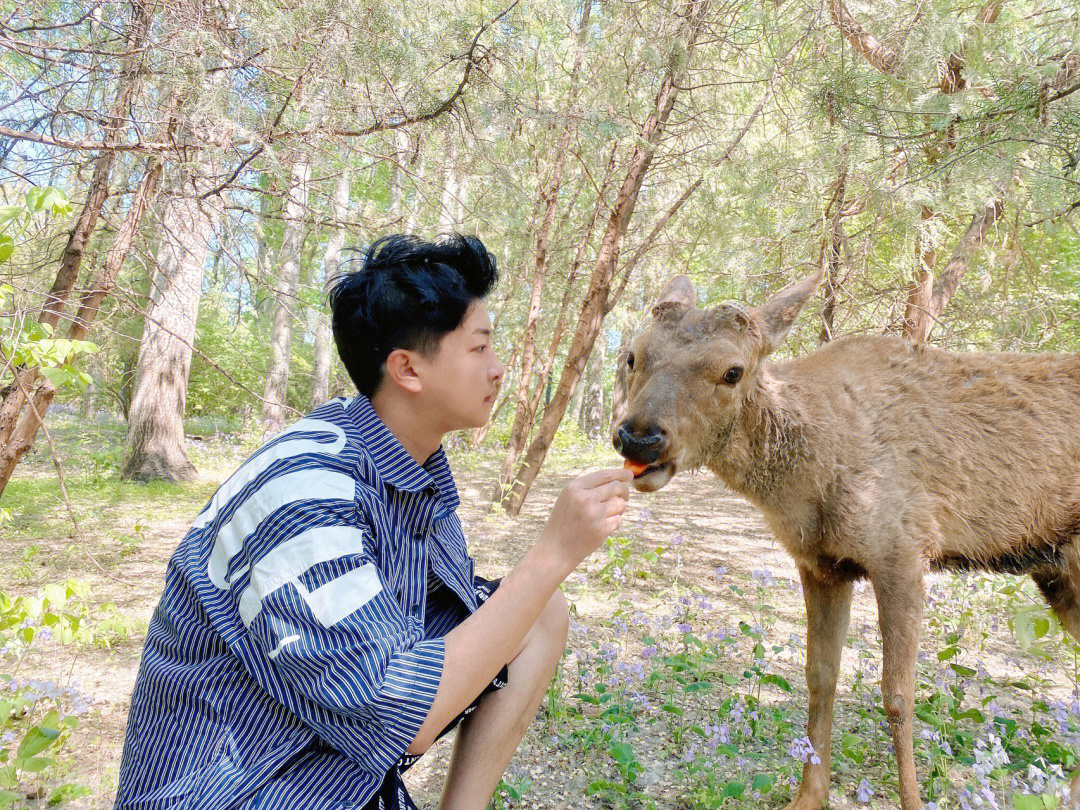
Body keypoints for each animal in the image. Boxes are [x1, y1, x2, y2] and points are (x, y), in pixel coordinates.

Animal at [613, 273, 1080, 810]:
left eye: (733, 371)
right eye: (633, 354)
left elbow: (897, 697)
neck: (807, 485)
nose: (638, 437)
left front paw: (910, 799)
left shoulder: (904, 551)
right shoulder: (821, 565)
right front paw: (807, 796)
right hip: (1058, 573)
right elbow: (820, 677)